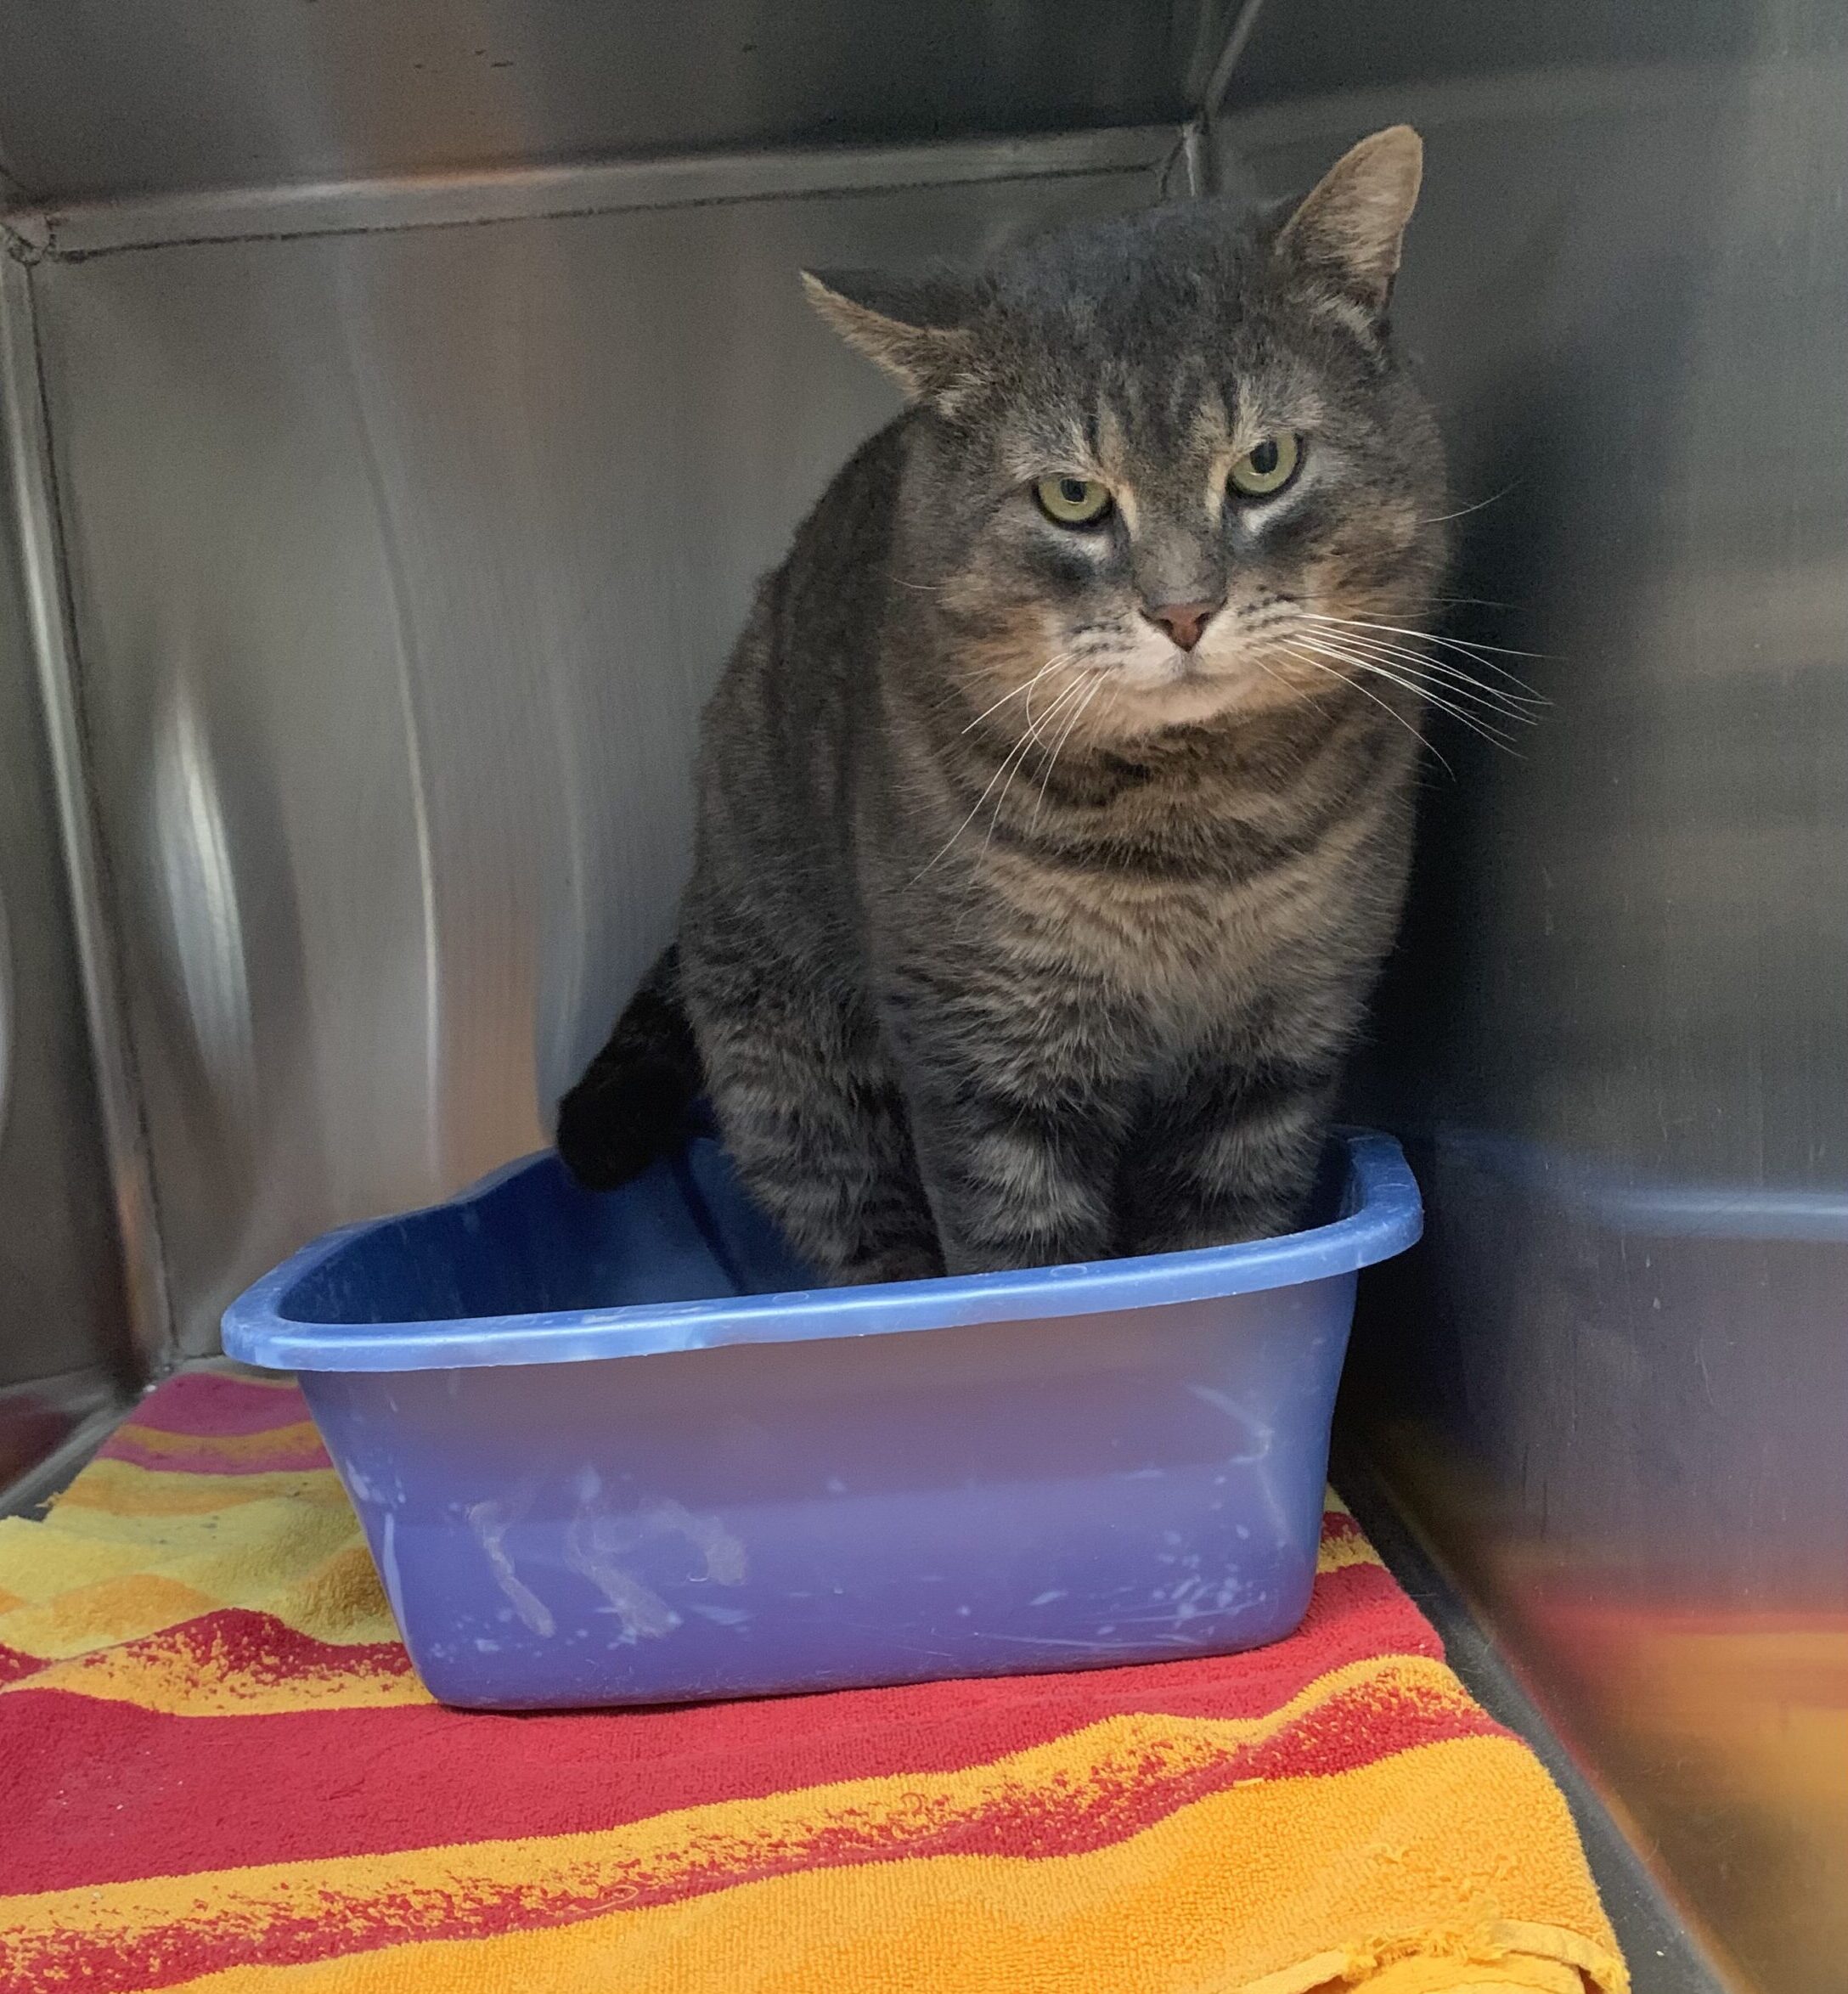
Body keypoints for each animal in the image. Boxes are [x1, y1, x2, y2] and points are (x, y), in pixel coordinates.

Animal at [558, 128, 1451, 1276]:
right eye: (1071, 496)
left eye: (1266, 462)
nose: (1183, 609)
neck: (1190, 833)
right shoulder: (987, 1060)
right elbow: (1023, 1264)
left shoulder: (1275, 1057)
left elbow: (1220, 1236)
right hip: (793, 1076)